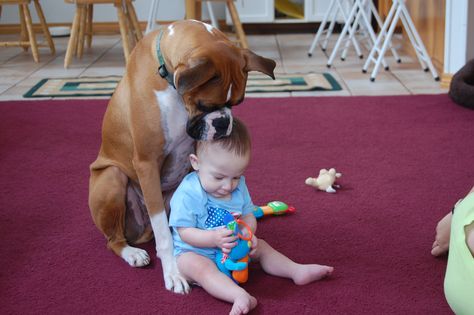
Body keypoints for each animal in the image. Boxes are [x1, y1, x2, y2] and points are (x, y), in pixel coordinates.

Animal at [88, 19, 278, 296]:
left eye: (237, 102)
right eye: (205, 105)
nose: (224, 123)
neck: (168, 80)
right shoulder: (146, 163)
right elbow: (166, 237)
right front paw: (174, 273)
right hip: (112, 178)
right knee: (114, 240)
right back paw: (132, 253)